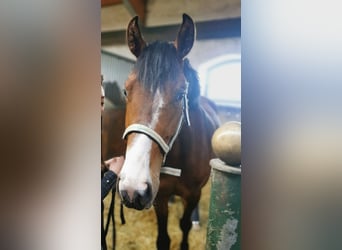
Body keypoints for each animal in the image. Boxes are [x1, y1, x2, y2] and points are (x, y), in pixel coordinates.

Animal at [103, 14, 220, 250]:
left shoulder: (193, 194)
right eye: (126, 91)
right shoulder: (160, 196)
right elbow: (163, 239)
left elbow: (184, 225)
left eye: (181, 94)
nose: (132, 188)